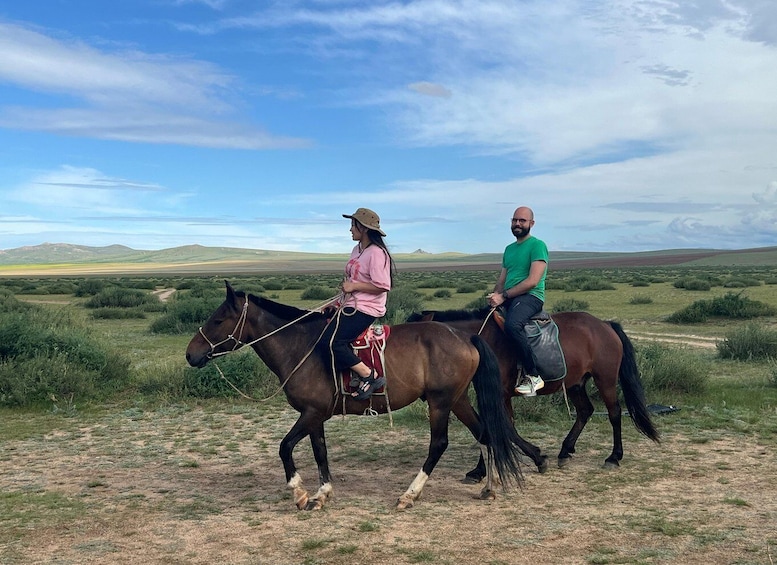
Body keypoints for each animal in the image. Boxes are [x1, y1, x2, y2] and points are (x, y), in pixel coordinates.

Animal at [187, 284, 528, 508]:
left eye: (218, 320)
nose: (191, 354)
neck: (300, 346)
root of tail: (466, 336)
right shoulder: (316, 416)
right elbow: (320, 452)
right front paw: (322, 494)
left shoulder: (310, 413)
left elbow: (284, 447)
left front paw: (299, 492)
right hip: (457, 400)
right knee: (484, 433)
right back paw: (489, 487)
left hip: (440, 402)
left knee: (440, 444)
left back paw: (409, 494)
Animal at [410, 306, 656, 478]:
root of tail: (605, 325)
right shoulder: (497, 396)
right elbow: (493, 428)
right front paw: (481, 471)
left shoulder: (500, 395)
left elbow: (500, 427)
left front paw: (537, 458)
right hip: (576, 383)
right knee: (585, 411)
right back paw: (565, 451)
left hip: (605, 379)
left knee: (614, 413)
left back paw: (613, 457)